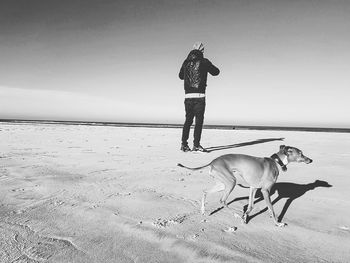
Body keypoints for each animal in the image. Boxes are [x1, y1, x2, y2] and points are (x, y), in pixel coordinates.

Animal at [178, 145, 312, 228]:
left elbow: (250, 206)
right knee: (222, 200)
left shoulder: (253, 188)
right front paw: (278, 223)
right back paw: (236, 215)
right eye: (301, 153)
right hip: (231, 182)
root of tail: (212, 162)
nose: (311, 160)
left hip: (222, 184)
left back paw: (202, 210)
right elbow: (271, 209)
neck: (276, 162)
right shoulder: (265, 191)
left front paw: (245, 217)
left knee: (205, 191)